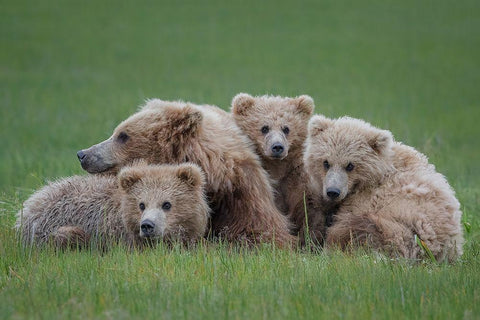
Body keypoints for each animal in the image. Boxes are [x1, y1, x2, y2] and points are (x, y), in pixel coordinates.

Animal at [231, 94, 324, 246]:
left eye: (286, 128)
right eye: (264, 128)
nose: (277, 147)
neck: (277, 168)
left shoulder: (295, 177)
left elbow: (306, 207)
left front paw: (309, 238)